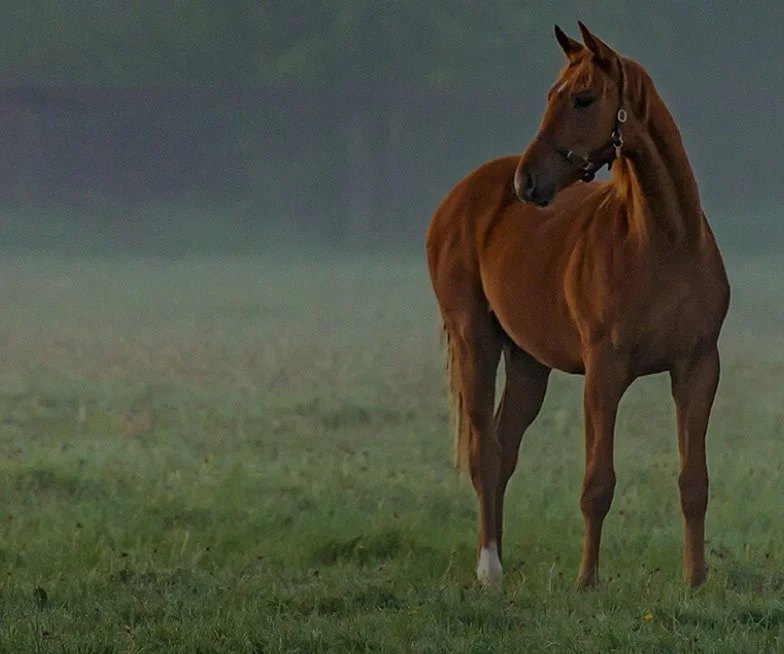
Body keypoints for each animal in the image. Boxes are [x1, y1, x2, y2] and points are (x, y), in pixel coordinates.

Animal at [425, 22, 730, 590]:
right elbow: (597, 485)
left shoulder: (698, 367)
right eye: (552, 95)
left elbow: (693, 481)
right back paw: (489, 568)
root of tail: (458, 198)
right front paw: (586, 582)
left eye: (584, 99)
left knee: (504, 451)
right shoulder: (604, 372)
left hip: (528, 363)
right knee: (485, 453)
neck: (665, 243)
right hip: (476, 342)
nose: (527, 181)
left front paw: (695, 581)